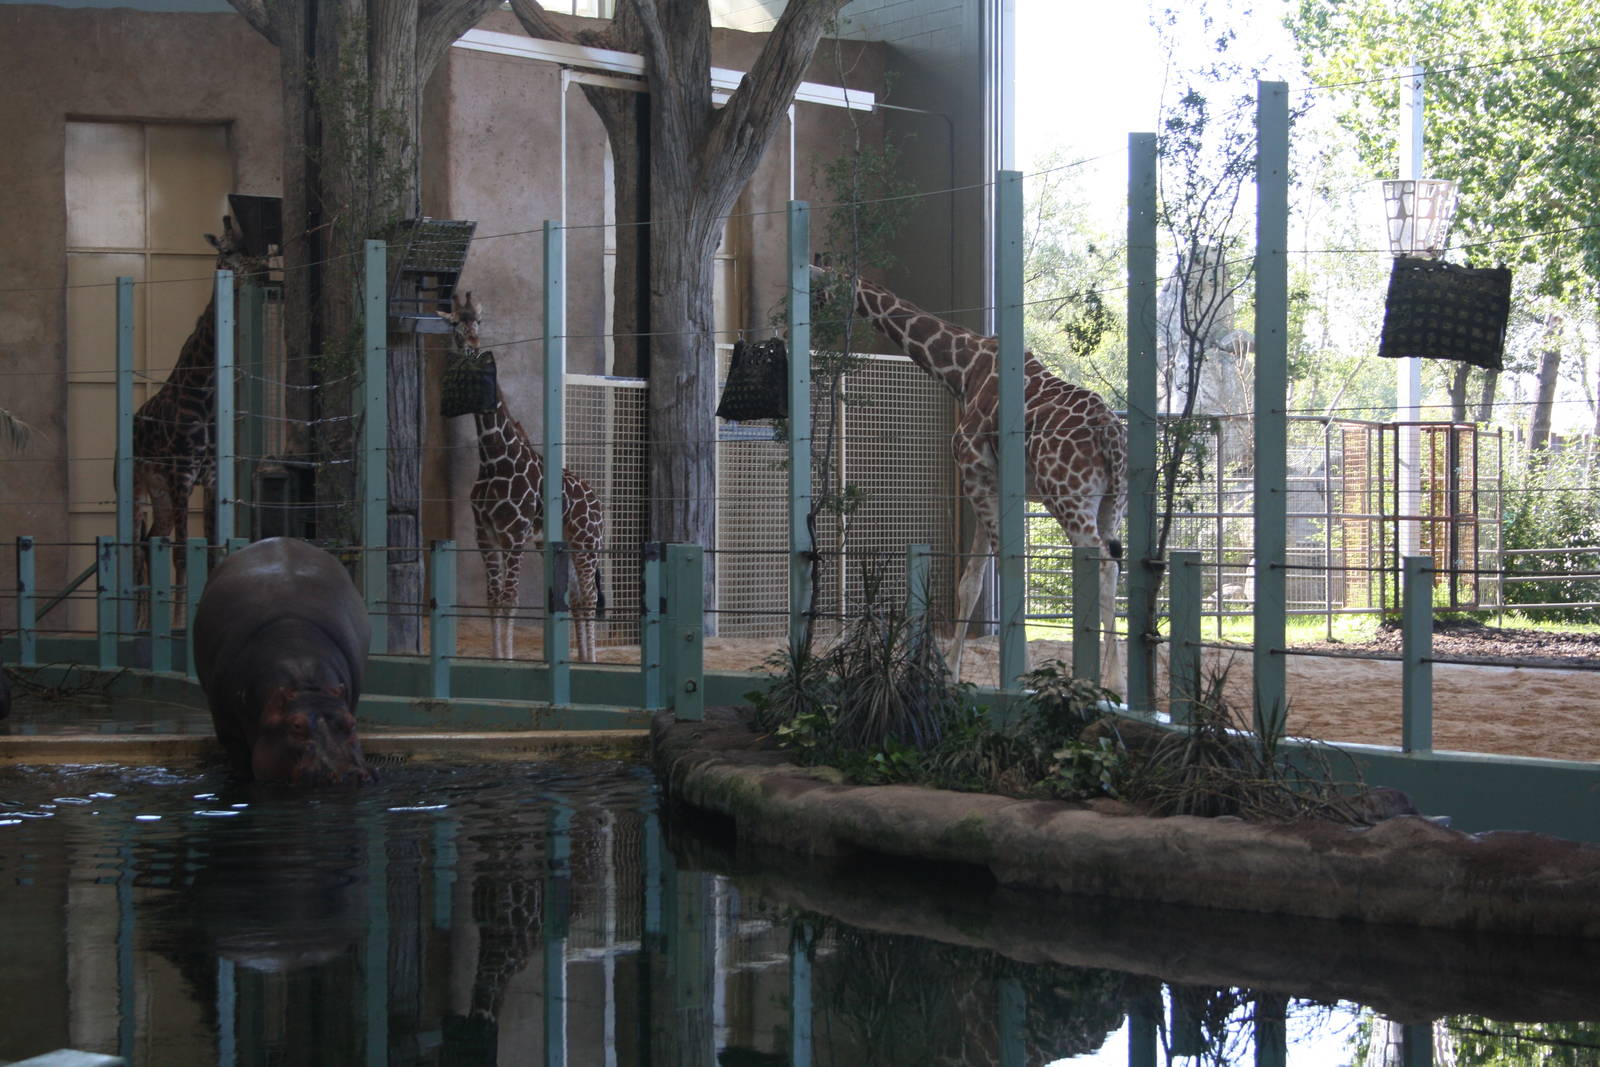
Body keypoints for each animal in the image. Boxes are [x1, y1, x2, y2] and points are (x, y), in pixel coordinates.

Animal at [130, 215, 266, 623]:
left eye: (254, 247)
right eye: (227, 249)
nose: (261, 272)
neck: (203, 389)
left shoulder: (209, 477)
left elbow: (209, 549)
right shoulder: (183, 474)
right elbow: (180, 554)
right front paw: (179, 624)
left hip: (158, 491)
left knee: (148, 541)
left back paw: (146, 622)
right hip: (136, 485)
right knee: (135, 545)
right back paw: (137, 623)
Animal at [439, 291, 606, 661]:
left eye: (479, 321)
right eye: (454, 322)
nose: (472, 344)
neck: (493, 458)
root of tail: (597, 499)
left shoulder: (514, 534)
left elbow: (510, 598)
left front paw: (508, 659)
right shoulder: (486, 535)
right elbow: (493, 599)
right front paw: (497, 657)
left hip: (588, 541)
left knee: (589, 597)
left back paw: (591, 660)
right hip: (557, 544)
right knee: (576, 597)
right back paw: (580, 659)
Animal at [840, 270, 1128, 687]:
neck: (963, 369)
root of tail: (1110, 434)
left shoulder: (974, 473)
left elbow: (1000, 573)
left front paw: (1016, 675)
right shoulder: (995, 487)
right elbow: (971, 581)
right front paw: (952, 673)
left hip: (1069, 496)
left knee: (1100, 563)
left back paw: (1107, 683)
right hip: (1112, 504)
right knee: (1113, 566)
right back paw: (1113, 682)